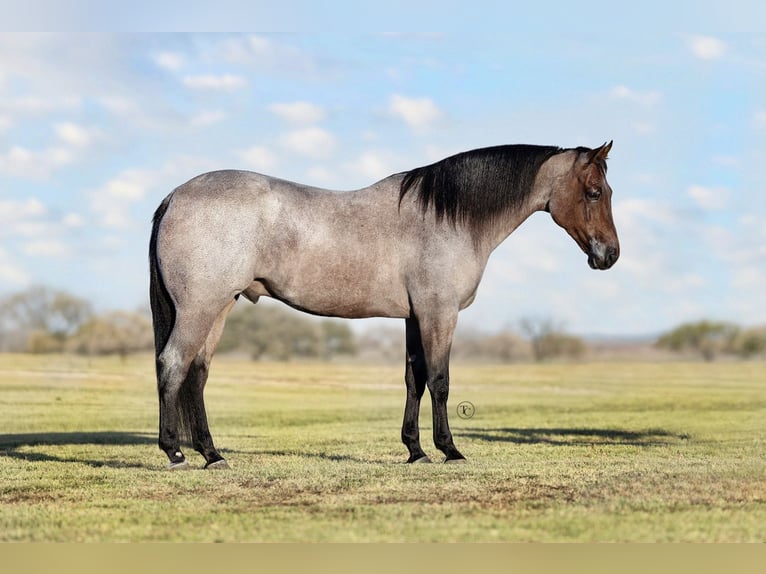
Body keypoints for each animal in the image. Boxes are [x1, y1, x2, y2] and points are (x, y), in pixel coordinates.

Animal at [149, 141, 619, 470]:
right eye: (595, 192)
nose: (610, 255)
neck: (447, 217)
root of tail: (176, 195)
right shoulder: (439, 313)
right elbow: (440, 381)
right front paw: (450, 450)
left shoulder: (415, 317)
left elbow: (414, 379)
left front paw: (415, 451)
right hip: (200, 308)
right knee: (173, 364)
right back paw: (175, 453)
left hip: (219, 307)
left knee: (197, 373)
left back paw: (212, 454)